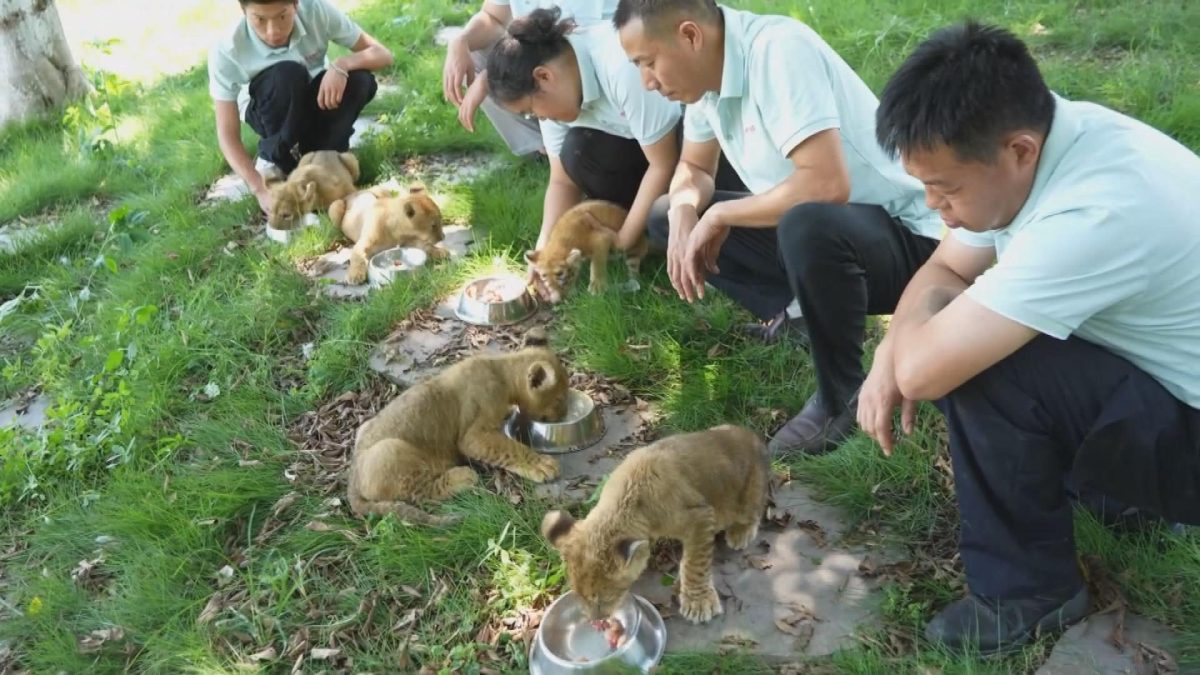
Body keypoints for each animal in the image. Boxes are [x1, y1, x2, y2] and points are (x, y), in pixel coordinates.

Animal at [347, 347, 570, 526]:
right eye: (559, 399)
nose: (564, 415)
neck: (501, 371)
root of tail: (352, 483)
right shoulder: (473, 436)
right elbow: (510, 449)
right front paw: (540, 464)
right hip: (390, 450)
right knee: (424, 492)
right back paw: (462, 476)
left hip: (365, 428)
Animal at [541, 424, 770, 623]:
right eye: (579, 597)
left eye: (605, 599)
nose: (597, 621)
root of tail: (753, 436)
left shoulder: (700, 516)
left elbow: (695, 564)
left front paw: (698, 603)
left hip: (746, 494)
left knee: (755, 510)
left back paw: (740, 532)